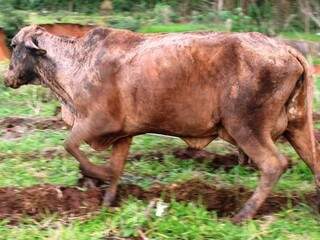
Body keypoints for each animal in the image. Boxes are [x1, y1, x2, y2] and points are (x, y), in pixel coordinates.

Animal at [4, 25, 320, 222]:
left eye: (14, 45)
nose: (7, 78)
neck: (76, 63)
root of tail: (284, 49)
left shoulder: (96, 122)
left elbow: (70, 145)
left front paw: (93, 174)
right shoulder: (124, 134)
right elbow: (116, 168)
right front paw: (105, 203)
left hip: (245, 126)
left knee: (274, 165)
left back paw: (241, 215)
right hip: (298, 126)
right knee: (314, 162)